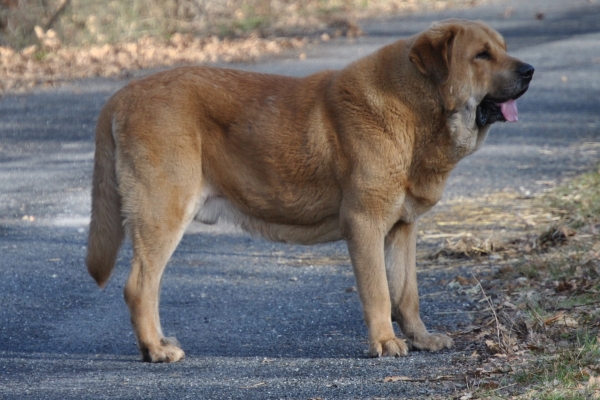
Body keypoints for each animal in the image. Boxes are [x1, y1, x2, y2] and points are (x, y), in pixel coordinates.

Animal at [86, 18, 532, 362]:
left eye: (503, 50)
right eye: (482, 55)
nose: (529, 71)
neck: (416, 108)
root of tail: (121, 96)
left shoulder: (402, 229)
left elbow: (407, 294)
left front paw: (420, 338)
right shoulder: (365, 225)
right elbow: (379, 294)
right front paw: (385, 342)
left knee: (147, 288)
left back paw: (158, 343)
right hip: (163, 214)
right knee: (139, 287)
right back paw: (156, 351)